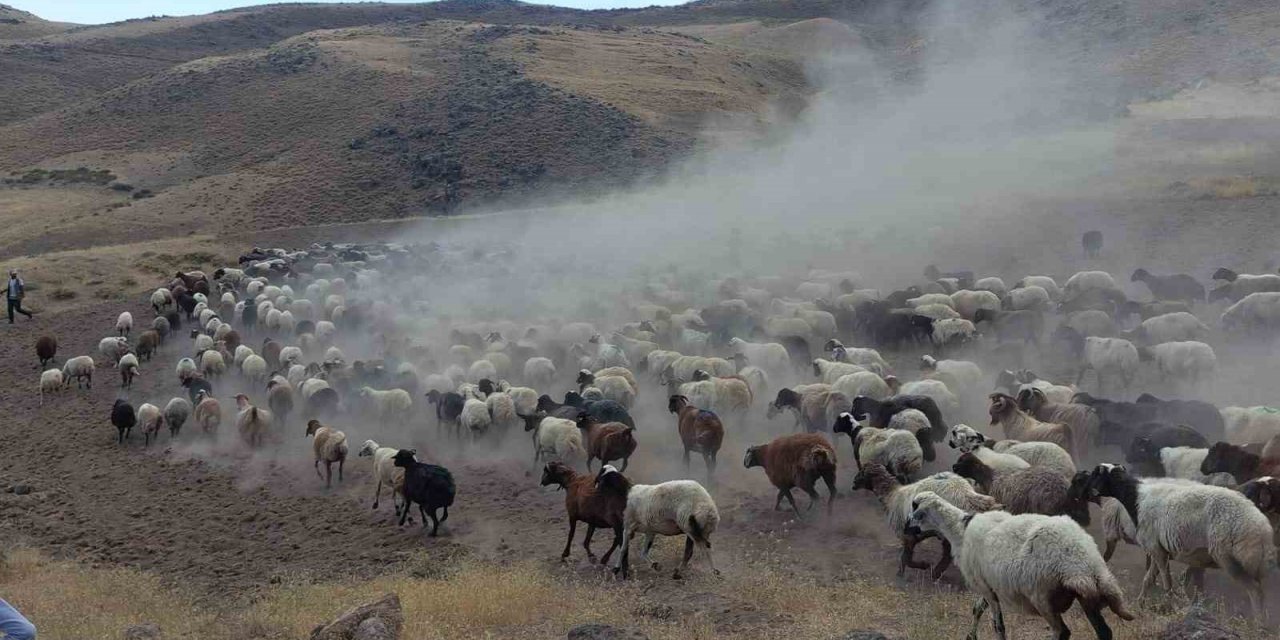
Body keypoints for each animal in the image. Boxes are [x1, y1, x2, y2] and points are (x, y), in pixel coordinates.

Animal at [855, 465, 1003, 581]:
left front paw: (920, 566)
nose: (853, 483)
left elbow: (906, 558)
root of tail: (967, 495)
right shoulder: (915, 534)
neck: (892, 496)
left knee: (948, 555)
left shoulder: (907, 535)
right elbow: (905, 558)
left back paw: (935, 573)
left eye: (862, 472)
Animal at [901, 488, 1131, 634]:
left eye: (914, 507)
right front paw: (970, 636)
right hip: (1086, 597)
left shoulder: (983, 586)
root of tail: (1085, 563)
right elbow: (977, 609)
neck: (960, 529)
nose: (906, 528)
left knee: (1063, 632)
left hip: (1043, 597)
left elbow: (998, 625)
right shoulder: (989, 583)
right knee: (1104, 632)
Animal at [1085, 465, 1274, 619]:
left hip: (1229, 558)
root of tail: (1262, 528)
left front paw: (1171, 608)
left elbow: (1167, 583)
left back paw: (1258, 623)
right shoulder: (1158, 550)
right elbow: (1148, 579)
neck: (1136, 498)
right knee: (1261, 591)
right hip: (1252, 563)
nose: (1088, 493)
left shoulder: (1156, 549)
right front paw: (1140, 606)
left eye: (1095, 474)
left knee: (1254, 591)